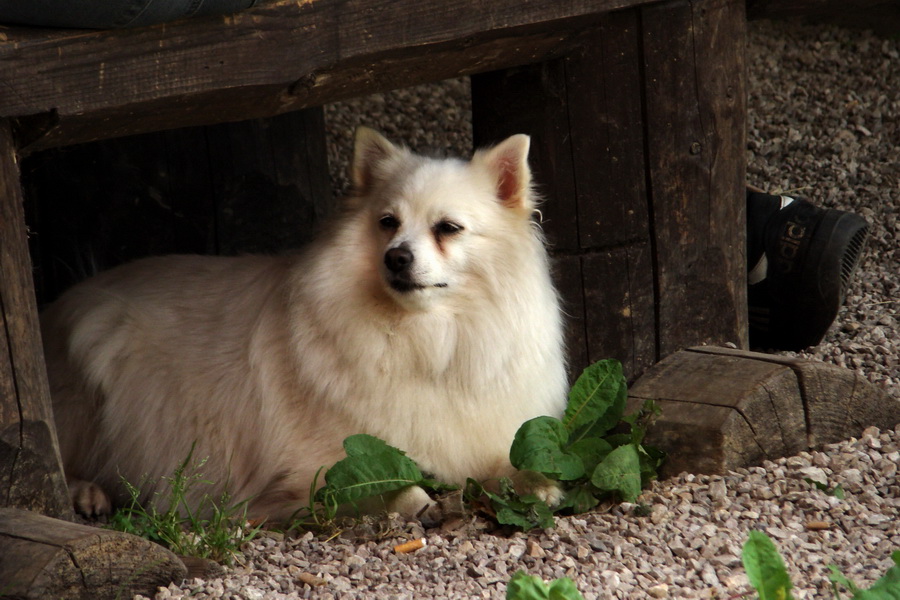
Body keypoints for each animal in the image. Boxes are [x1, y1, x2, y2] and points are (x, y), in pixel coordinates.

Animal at [42, 126, 568, 520]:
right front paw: (416, 499)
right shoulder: (314, 470)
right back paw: (85, 492)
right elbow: (378, 485)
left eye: (448, 229)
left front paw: (537, 482)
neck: (423, 339)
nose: (396, 257)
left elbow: (507, 461)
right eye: (387, 223)